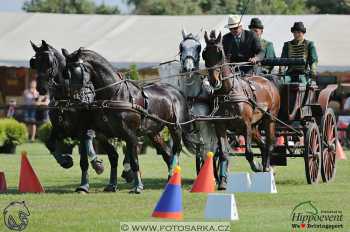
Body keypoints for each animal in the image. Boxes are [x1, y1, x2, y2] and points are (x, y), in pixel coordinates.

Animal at [29, 40, 123, 193]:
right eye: (34, 62)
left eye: (48, 61)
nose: (41, 88)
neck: (66, 99)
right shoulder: (58, 128)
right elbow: (50, 144)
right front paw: (65, 161)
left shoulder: (81, 129)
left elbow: (83, 160)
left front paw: (84, 185)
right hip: (102, 134)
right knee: (113, 155)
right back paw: (111, 183)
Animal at [63, 47, 194, 194]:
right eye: (65, 73)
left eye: (76, 72)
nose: (74, 99)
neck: (114, 95)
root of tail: (174, 90)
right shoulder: (103, 133)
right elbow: (112, 156)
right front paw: (111, 184)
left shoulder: (130, 135)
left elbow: (134, 161)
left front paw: (137, 186)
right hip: (153, 132)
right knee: (167, 153)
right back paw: (170, 178)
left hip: (175, 127)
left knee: (176, 149)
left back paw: (173, 175)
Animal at [201, 30, 280, 189]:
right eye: (204, 53)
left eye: (220, 53)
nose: (214, 81)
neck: (228, 93)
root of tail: (268, 82)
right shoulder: (220, 125)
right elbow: (224, 153)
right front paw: (222, 182)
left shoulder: (245, 124)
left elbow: (249, 152)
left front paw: (256, 167)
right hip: (255, 126)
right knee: (263, 145)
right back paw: (264, 167)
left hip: (269, 119)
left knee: (269, 144)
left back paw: (267, 168)